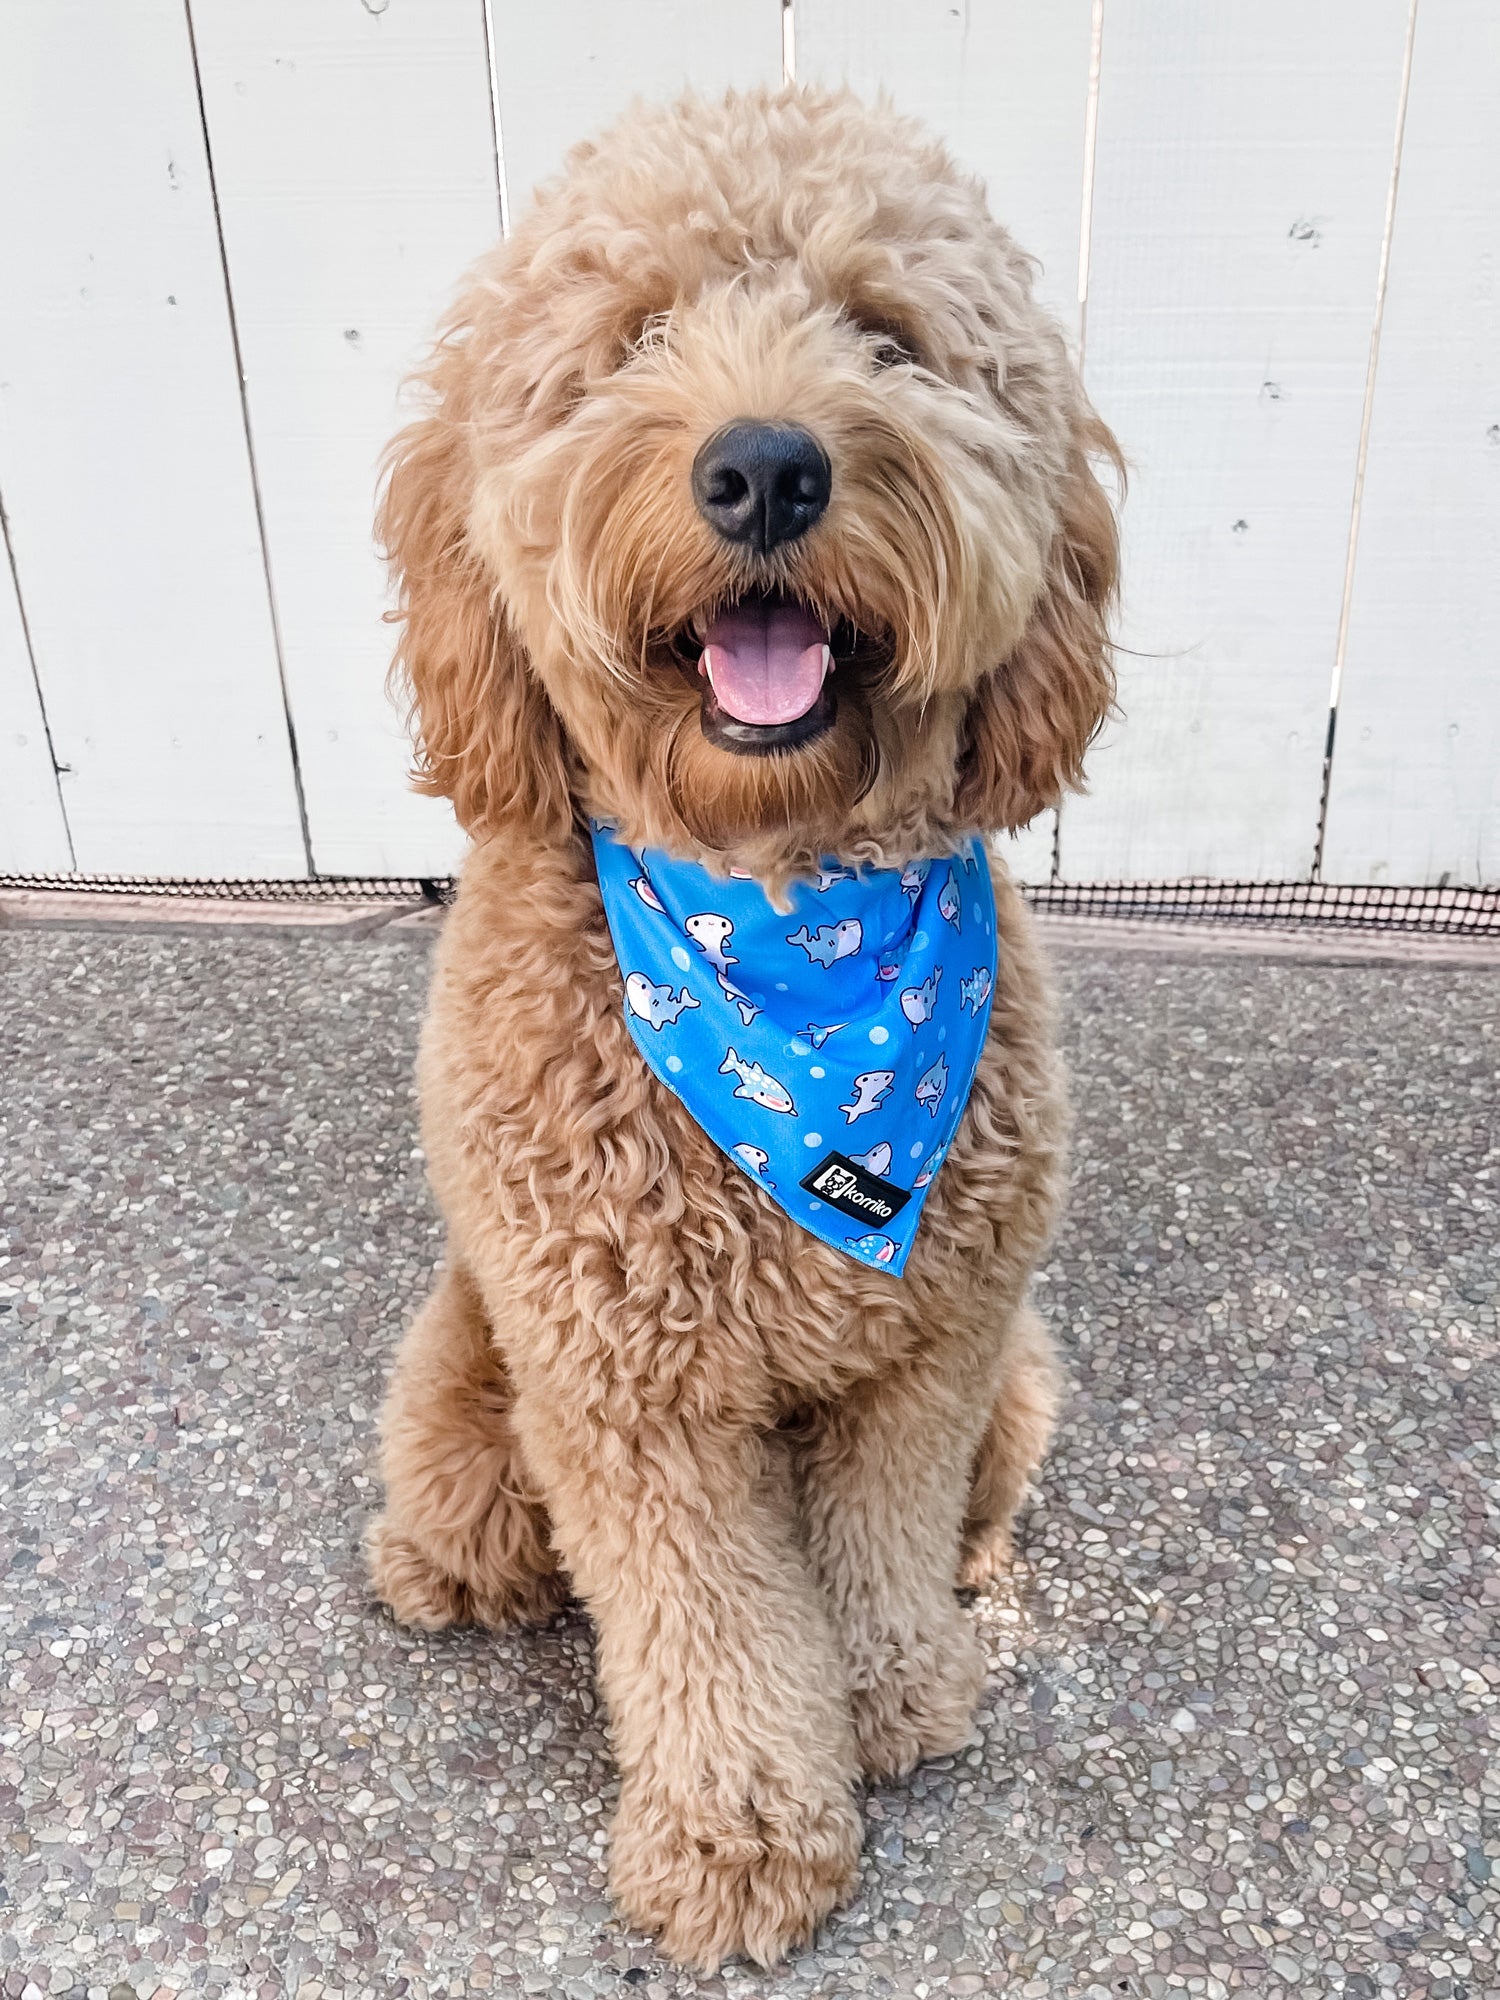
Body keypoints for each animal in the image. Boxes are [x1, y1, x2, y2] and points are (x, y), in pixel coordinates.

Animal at [364, 82, 1120, 1968]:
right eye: (634, 336)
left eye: (887, 334)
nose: (766, 465)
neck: (789, 935)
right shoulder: (624, 1392)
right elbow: (707, 1619)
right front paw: (742, 1835)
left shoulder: (936, 1346)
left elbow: (878, 1534)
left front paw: (897, 1694)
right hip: (475, 1375)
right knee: (473, 1511)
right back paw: (439, 1564)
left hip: (1020, 1377)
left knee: (982, 1490)